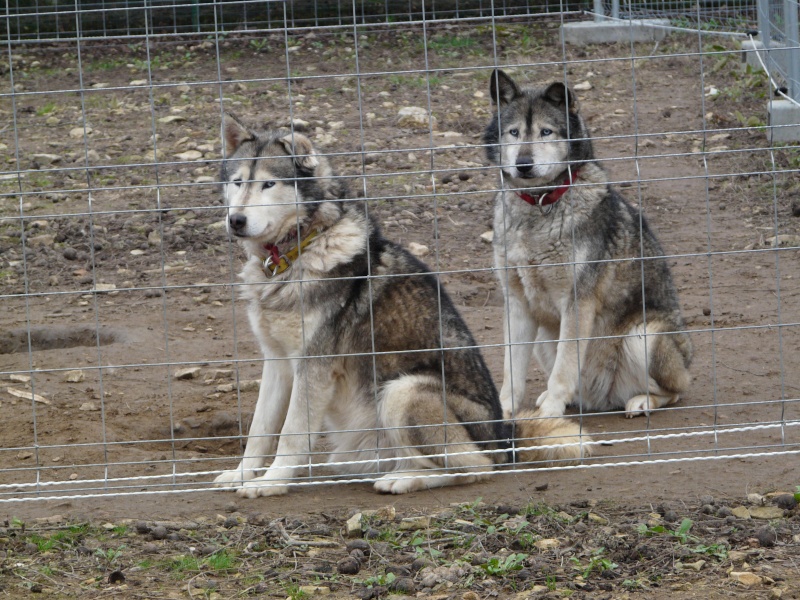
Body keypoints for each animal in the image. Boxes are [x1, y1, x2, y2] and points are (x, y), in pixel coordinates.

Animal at [216, 112, 592, 496]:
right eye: (238, 182)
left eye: (269, 184)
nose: (236, 220)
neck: (296, 253)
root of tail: (505, 440)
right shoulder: (276, 362)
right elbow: (259, 431)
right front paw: (242, 474)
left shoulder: (313, 367)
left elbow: (291, 435)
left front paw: (272, 482)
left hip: (402, 390)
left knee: (474, 467)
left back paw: (403, 479)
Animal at [484, 69, 692, 418]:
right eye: (514, 132)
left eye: (546, 132)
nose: (523, 163)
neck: (541, 206)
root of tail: (603, 401)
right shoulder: (517, 303)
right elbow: (512, 372)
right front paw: (505, 411)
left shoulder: (578, 303)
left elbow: (564, 368)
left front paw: (550, 411)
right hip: (544, 338)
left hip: (645, 336)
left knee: (675, 391)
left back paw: (640, 402)